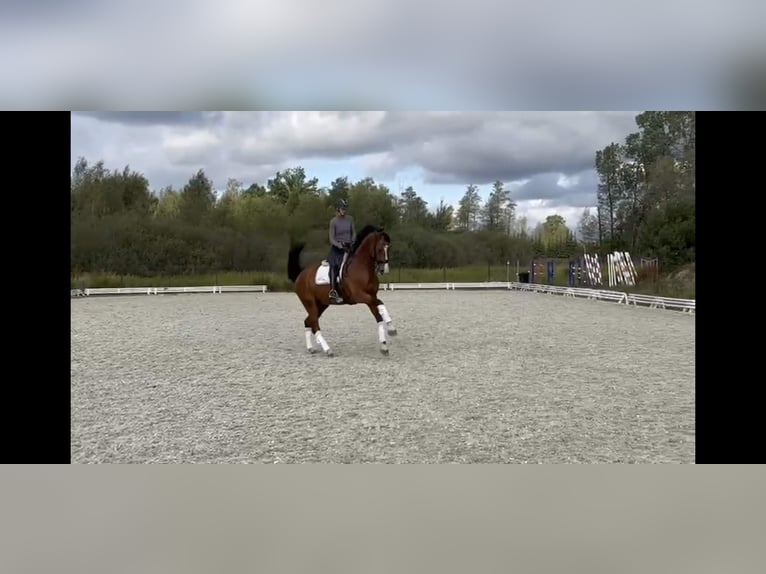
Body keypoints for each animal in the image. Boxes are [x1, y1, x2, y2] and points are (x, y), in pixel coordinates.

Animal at [287, 225, 397, 356]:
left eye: (388, 248)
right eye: (380, 248)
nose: (383, 269)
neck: (362, 267)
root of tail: (301, 275)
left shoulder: (371, 296)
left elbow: (380, 312)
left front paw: (387, 337)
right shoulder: (361, 296)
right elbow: (379, 308)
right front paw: (389, 333)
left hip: (321, 305)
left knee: (308, 321)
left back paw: (311, 348)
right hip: (310, 303)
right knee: (314, 323)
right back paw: (327, 350)